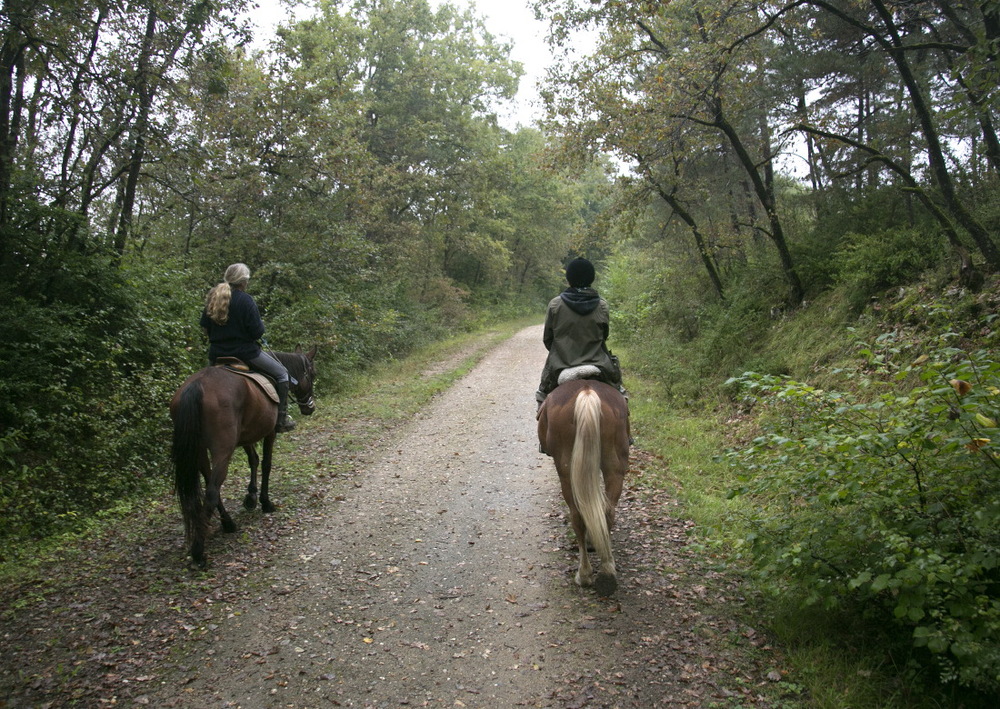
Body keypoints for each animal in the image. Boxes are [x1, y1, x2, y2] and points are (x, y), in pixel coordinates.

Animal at [168, 346, 316, 568]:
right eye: (312, 375)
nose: (310, 407)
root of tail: (196, 386)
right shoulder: (269, 432)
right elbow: (266, 464)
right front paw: (265, 502)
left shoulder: (247, 435)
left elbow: (253, 460)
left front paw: (251, 497)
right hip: (223, 449)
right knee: (212, 490)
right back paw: (199, 552)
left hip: (200, 451)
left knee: (211, 483)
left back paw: (227, 523)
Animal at [540, 378, 624, 596]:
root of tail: (586, 392)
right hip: (614, 466)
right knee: (606, 511)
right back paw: (607, 571)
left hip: (566, 471)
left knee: (577, 515)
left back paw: (584, 574)